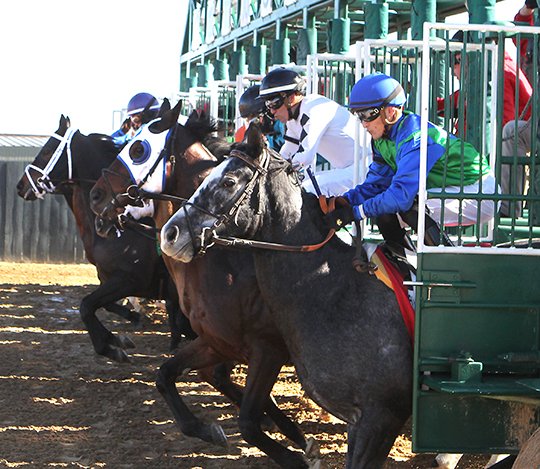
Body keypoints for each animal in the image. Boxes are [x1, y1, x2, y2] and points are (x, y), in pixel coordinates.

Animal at [15, 116, 194, 362]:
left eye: (47, 150)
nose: (20, 186)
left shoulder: (130, 279)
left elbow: (86, 305)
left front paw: (113, 343)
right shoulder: (108, 278)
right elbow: (100, 305)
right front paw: (120, 334)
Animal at [86, 104, 318, 466]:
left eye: (137, 149)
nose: (96, 195)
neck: (225, 260)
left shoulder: (267, 348)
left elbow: (248, 419)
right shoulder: (216, 341)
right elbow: (167, 375)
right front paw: (207, 429)